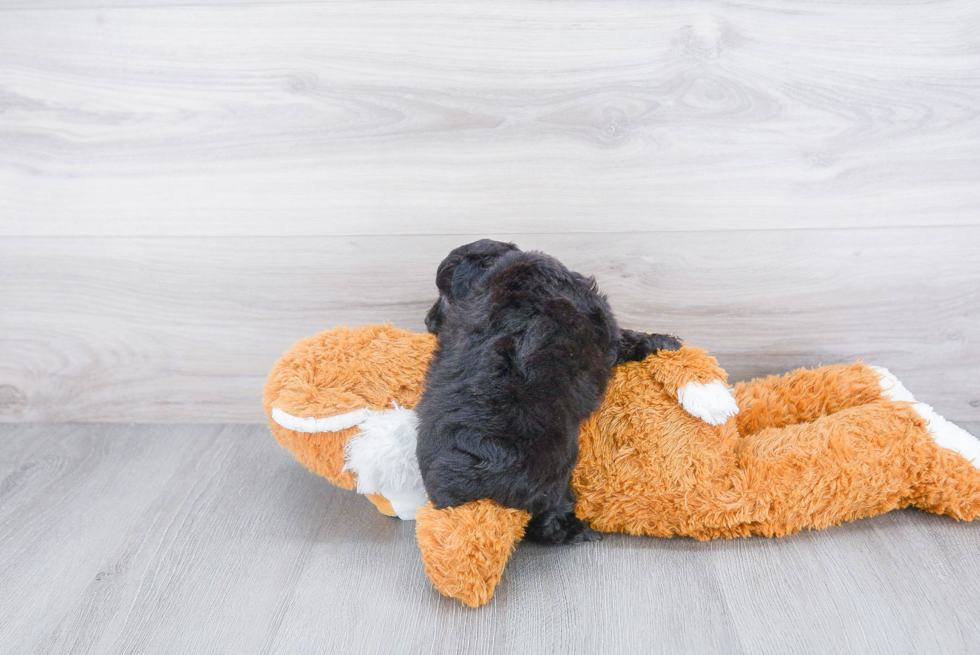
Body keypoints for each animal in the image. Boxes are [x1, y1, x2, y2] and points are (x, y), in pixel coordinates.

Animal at [416, 240, 680, 544]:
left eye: (445, 298)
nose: (427, 321)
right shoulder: (603, 326)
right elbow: (626, 339)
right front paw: (663, 341)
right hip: (551, 473)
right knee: (548, 523)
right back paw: (580, 529)